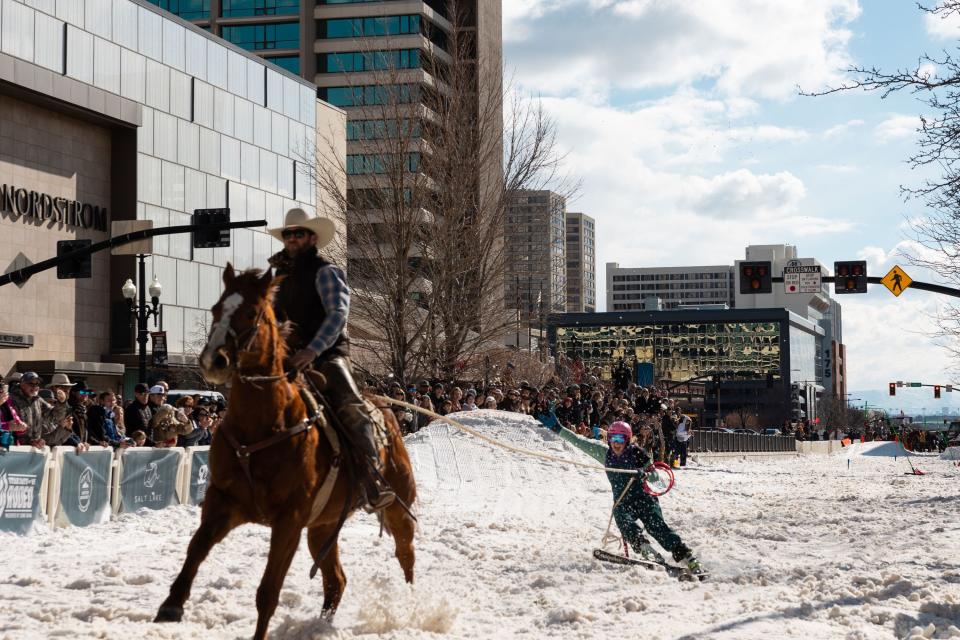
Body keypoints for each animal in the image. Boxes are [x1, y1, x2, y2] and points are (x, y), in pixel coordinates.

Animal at [155, 262, 416, 636]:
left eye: (251, 313)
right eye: (216, 309)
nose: (212, 360)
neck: (262, 427)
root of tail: (386, 410)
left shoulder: (289, 521)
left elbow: (268, 591)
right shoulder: (224, 503)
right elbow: (197, 547)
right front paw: (172, 603)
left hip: (397, 502)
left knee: (405, 551)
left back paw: (409, 604)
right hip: (323, 527)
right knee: (336, 580)